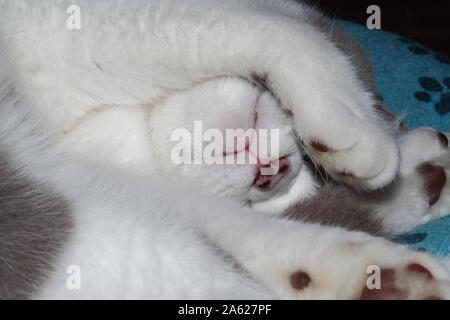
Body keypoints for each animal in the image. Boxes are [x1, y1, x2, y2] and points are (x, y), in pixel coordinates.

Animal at [0, 0, 450, 300]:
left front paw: (406, 182)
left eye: (302, 178)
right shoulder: (74, 26)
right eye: (302, 158)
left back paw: (392, 273)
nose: (275, 169)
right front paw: (354, 126)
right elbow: (263, 28)